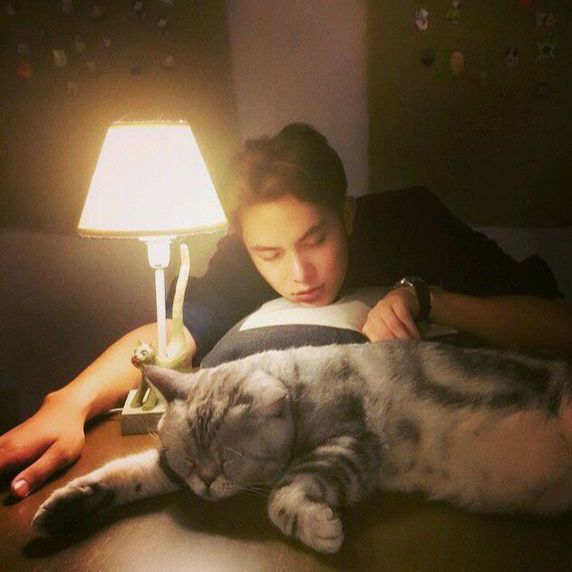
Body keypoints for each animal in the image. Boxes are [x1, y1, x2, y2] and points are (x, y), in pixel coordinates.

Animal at [33, 340, 572, 553]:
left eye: (229, 460)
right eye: (190, 461)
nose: (204, 484)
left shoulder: (351, 441)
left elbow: (280, 497)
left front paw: (316, 525)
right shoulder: (165, 467)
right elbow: (122, 473)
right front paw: (63, 505)